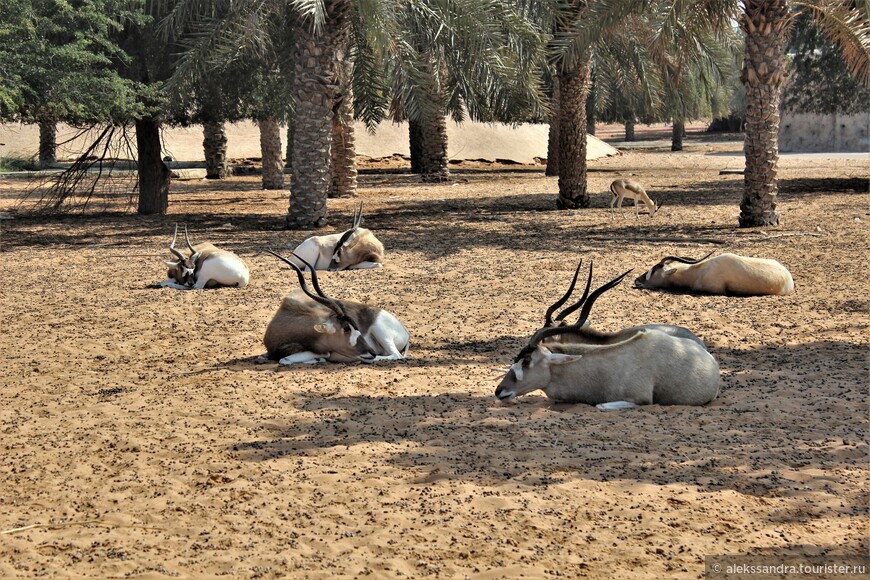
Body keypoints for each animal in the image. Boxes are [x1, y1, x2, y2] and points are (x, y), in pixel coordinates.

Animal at [262, 251, 412, 364]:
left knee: (396, 355)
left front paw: (319, 359)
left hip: (380, 331)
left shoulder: (324, 351)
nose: (371, 352)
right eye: (346, 328)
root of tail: (405, 333)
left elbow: (284, 360)